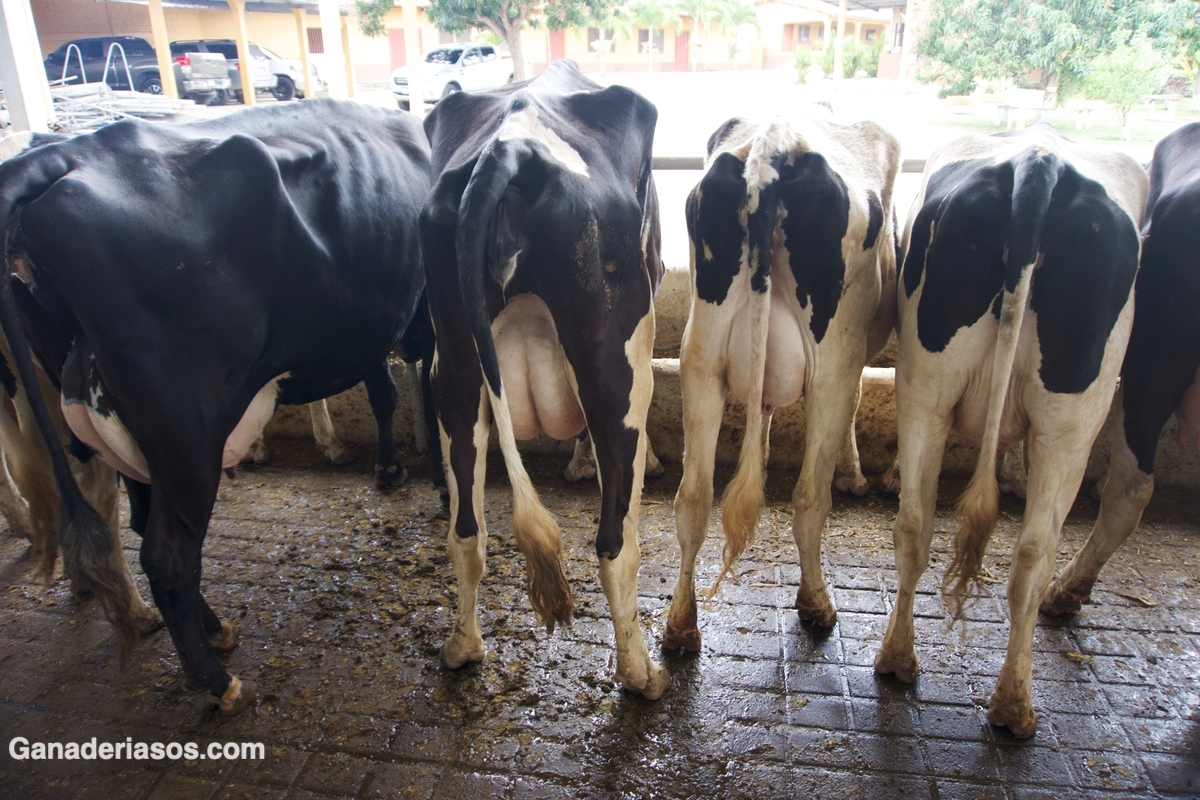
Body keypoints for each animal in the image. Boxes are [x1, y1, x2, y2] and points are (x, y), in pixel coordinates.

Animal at [0, 100, 432, 714]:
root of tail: (64, 153)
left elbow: (382, 389)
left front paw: (385, 466)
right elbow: (406, 393)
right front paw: (407, 473)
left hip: (118, 424)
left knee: (140, 524)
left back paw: (211, 630)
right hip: (187, 429)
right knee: (166, 552)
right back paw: (215, 679)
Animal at [420, 62, 667, 695]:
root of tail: (511, 146)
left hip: (454, 366)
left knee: (466, 529)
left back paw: (462, 647)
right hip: (616, 366)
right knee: (615, 541)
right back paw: (640, 672)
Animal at [667, 112, 902, 652]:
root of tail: (775, 145)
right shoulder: (855, 360)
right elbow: (858, 401)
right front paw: (854, 473)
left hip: (701, 357)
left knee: (694, 497)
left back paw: (680, 625)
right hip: (833, 360)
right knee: (810, 497)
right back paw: (816, 603)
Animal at [878, 123, 1147, 738]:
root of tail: (1037, 163)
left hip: (929, 380)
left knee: (920, 525)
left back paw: (907, 662)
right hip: (1075, 413)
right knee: (1043, 546)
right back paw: (1015, 697)